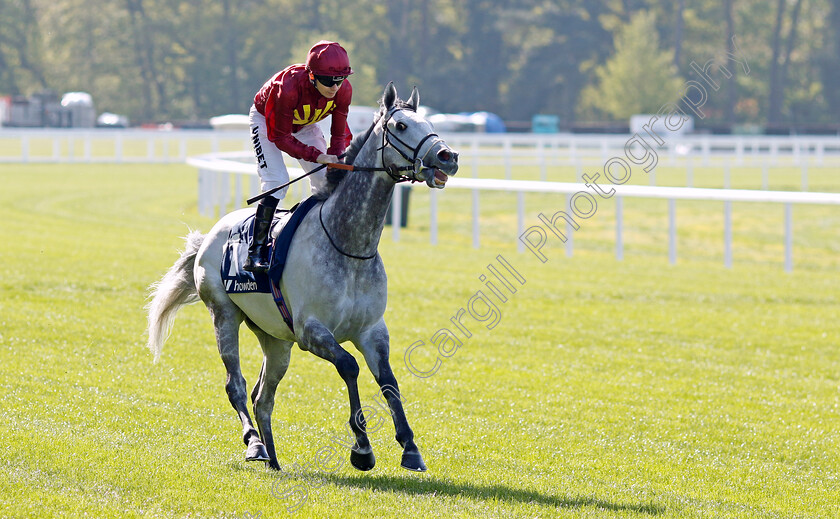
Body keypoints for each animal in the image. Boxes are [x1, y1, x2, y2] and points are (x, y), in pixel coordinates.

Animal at [145, 83, 460, 474]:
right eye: (400, 126)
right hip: (224, 315)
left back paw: (273, 458)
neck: (348, 244)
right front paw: (362, 448)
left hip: (276, 339)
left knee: (263, 397)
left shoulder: (372, 330)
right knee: (236, 385)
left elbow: (388, 380)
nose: (448, 156)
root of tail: (209, 236)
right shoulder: (311, 331)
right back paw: (254, 444)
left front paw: (410, 447)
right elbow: (350, 366)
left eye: (429, 122)